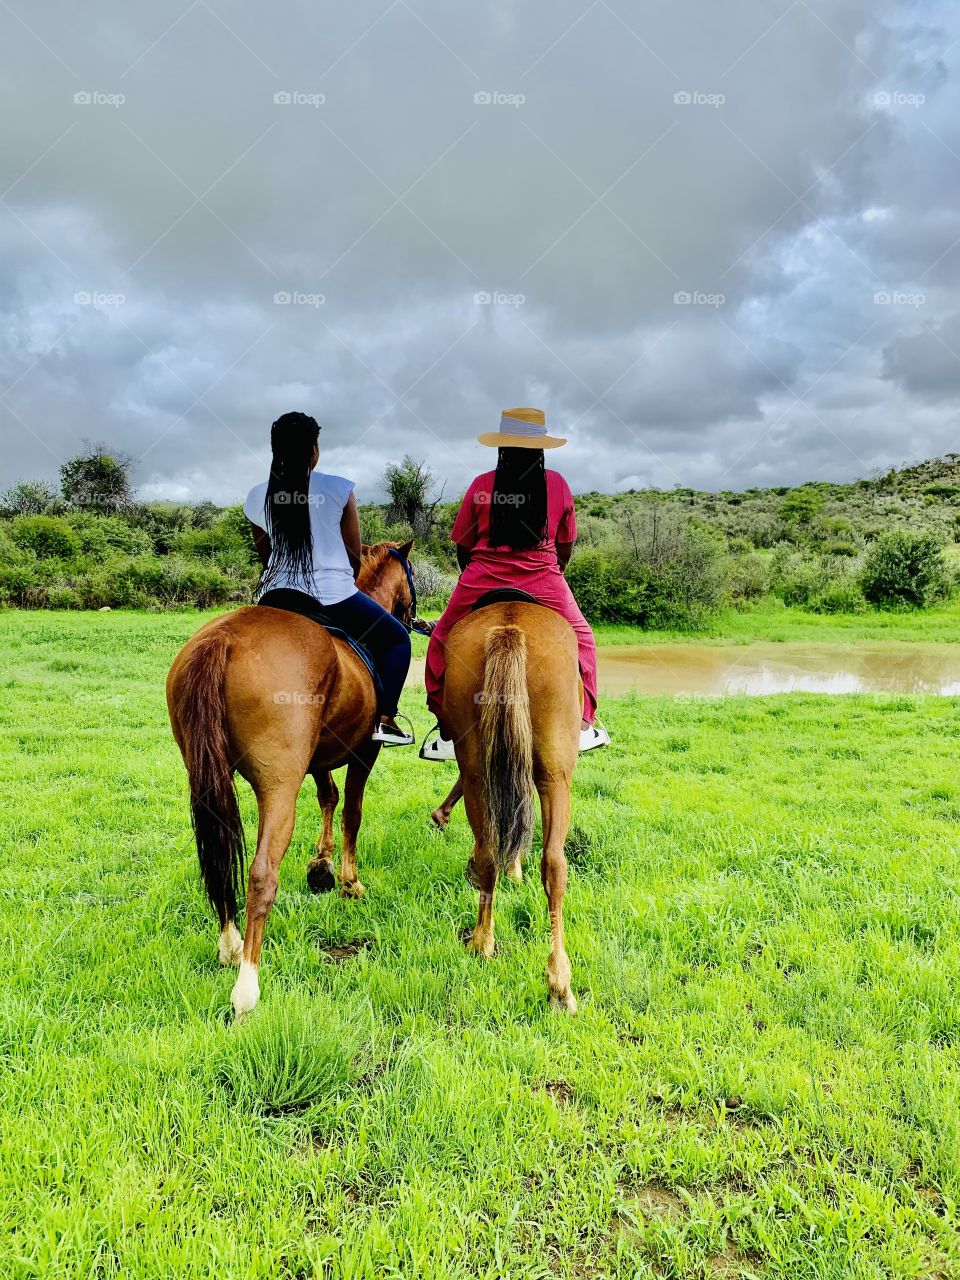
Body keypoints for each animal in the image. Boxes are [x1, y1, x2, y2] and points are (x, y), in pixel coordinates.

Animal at [165, 540, 414, 1018]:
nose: (414, 617)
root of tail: (223, 638)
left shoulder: (317, 758)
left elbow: (329, 797)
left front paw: (322, 865)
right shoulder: (364, 752)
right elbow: (351, 810)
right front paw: (349, 881)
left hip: (207, 778)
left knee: (217, 858)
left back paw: (230, 945)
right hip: (279, 788)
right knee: (262, 874)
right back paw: (246, 987)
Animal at [442, 596, 578, 1008]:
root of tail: (509, 627)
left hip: (476, 768)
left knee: (488, 850)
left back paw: (482, 942)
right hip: (555, 775)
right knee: (555, 864)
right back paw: (560, 982)